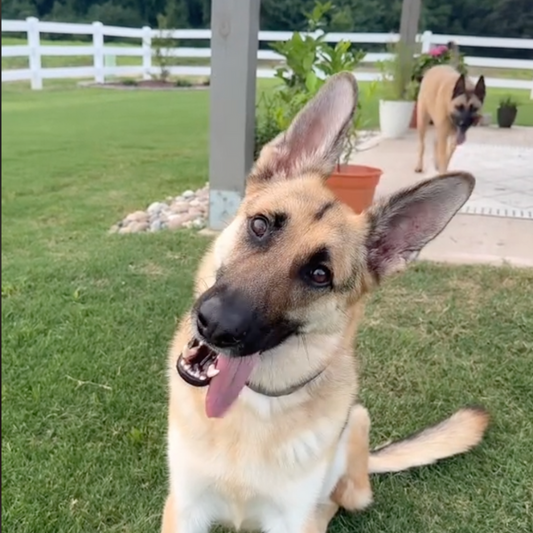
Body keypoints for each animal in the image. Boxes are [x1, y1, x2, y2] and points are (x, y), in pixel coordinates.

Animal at [163, 71, 490, 532]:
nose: (214, 325)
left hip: (356, 447)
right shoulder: (184, 507)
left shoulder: (288, 519)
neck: (253, 404)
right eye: (260, 226)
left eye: (320, 275)